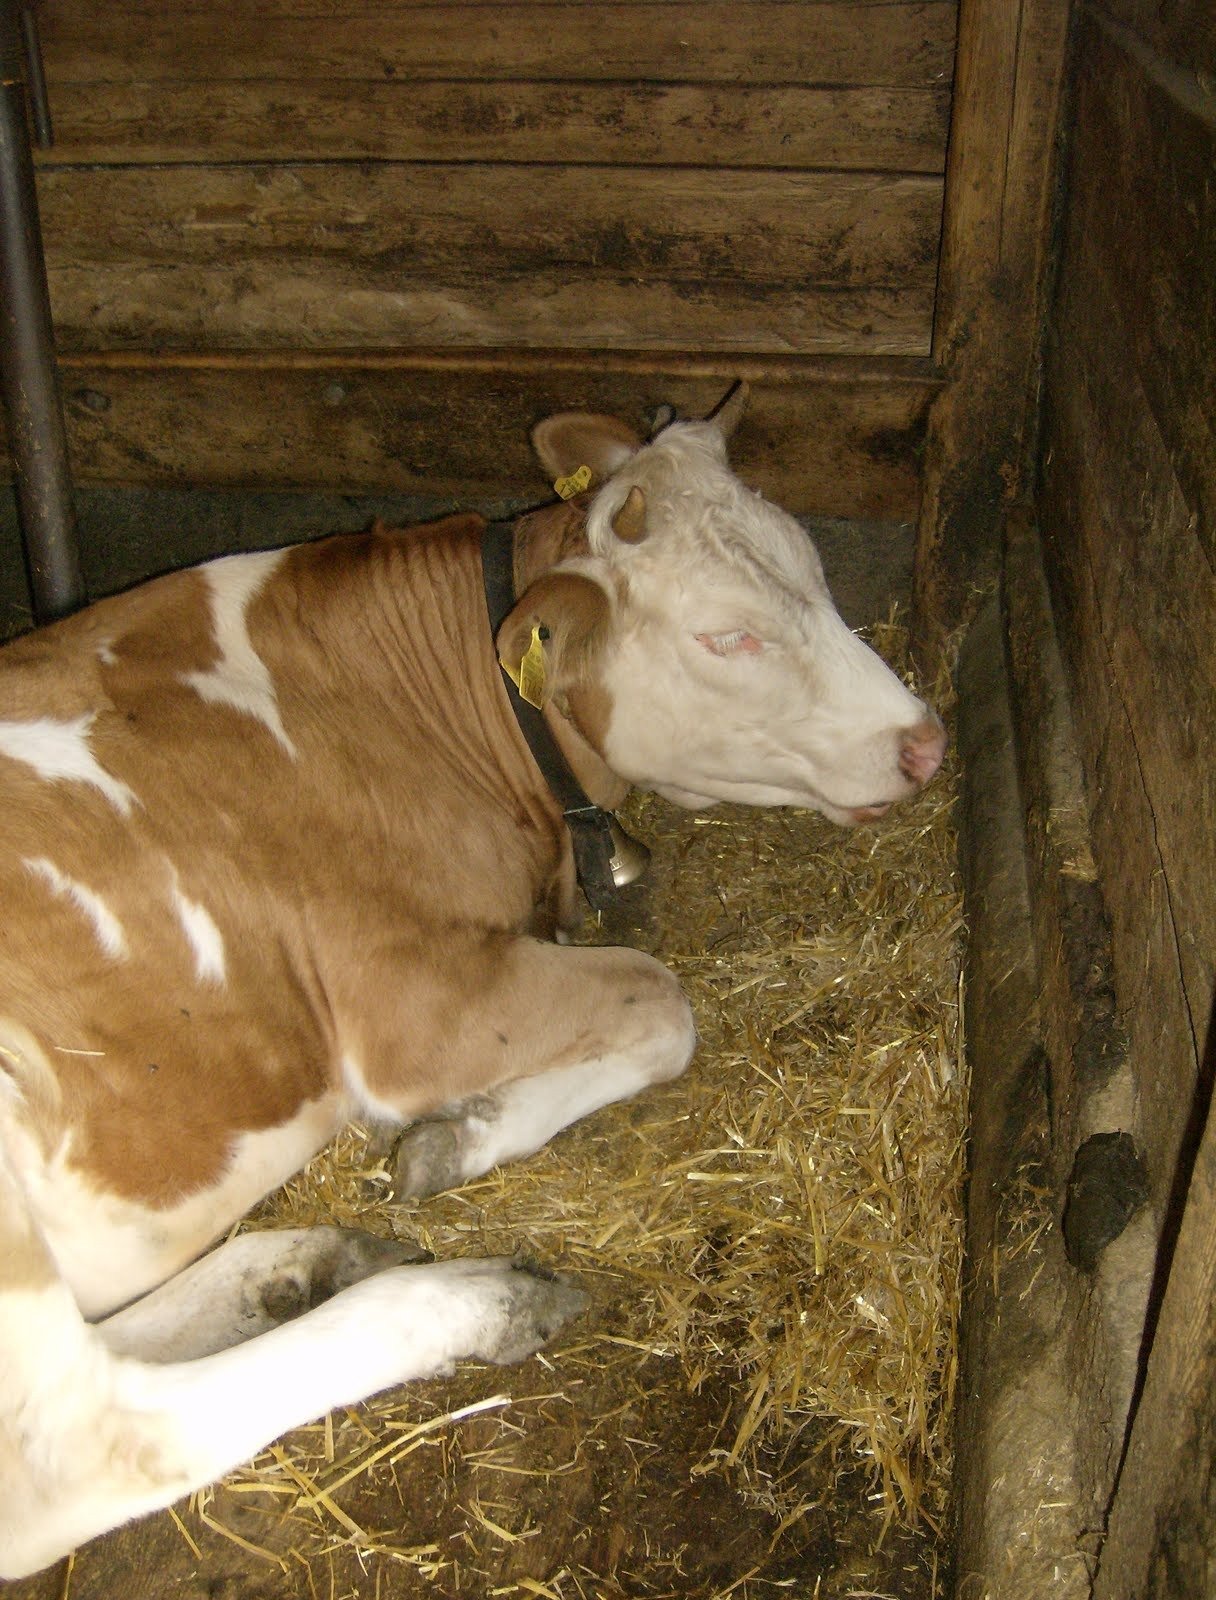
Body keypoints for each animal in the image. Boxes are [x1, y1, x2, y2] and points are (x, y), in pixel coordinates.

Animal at [0, 387, 944, 1577]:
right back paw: (475, 1298)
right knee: (86, 1446)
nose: (926, 743)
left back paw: (293, 1265)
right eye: (728, 634)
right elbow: (661, 1000)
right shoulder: (409, 1005)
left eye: (814, 571)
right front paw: (462, 1138)